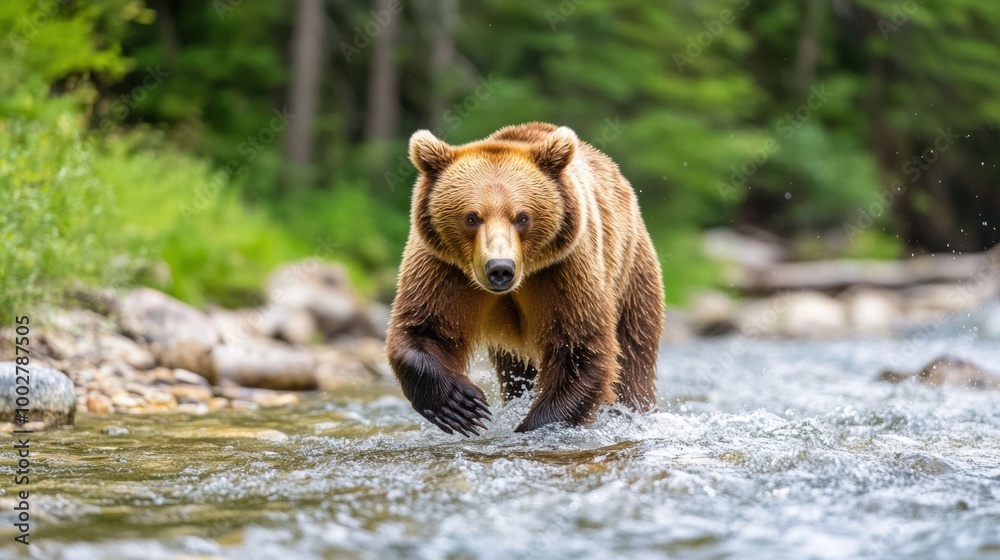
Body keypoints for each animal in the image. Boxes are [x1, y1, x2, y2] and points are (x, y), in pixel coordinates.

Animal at [385, 122, 664, 435]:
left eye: (522, 217)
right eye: (471, 217)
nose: (500, 268)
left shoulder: (565, 268)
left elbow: (580, 345)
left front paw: (534, 426)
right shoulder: (443, 268)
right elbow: (424, 327)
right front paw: (461, 405)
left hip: (631, 271)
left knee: (633, 354)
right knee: (515, 370)